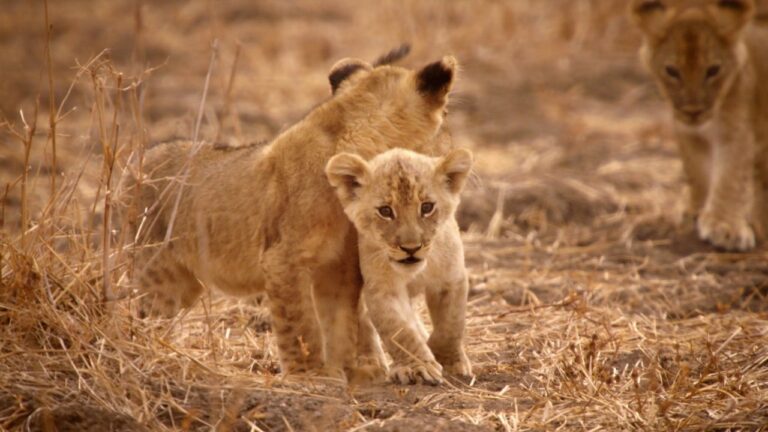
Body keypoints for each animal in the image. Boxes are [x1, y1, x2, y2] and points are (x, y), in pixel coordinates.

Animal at [118, 48, 459, 380]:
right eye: (445, 117)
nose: (451, 145)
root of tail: (134, 163)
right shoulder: (283, 259)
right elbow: (300, 322)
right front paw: (310, 375)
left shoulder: (342, 265)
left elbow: (341, 319)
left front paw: (350, 369)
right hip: (158, 271)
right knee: (144, 312)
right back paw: (149, 354)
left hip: (186, 282)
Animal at [325, 147, 474, 385]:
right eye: (385, 211)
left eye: (427, 207)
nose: (410, 248)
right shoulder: (382, 289)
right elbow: (398, 330)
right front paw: (418, 367)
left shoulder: (452, 279)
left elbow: (450, 325)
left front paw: (449, 361)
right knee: (362, 321)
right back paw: (370, 362)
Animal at [631, 0, 768, 251]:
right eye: (672, 71)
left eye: (713, 70)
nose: (693, 111)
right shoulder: (687, 133)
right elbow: (697, 171)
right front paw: (696, 213)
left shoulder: (737, 131)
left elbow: (730, 176)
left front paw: (725, 227)